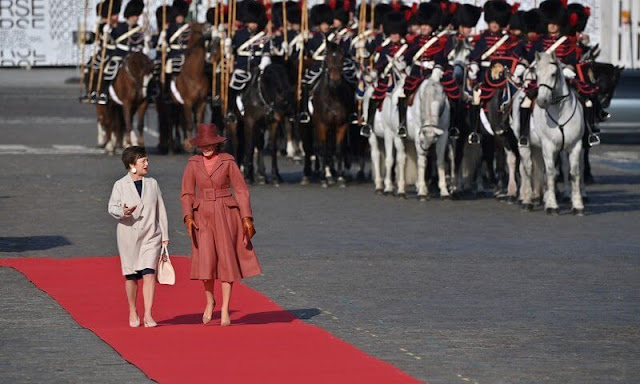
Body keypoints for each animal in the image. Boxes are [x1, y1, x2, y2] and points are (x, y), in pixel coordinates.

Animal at [308, 41, 352, 187]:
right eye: (326, 58)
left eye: (342, 59)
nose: (335, 81)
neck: (332, 96)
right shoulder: (321, 126)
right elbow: (323, 149)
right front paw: (325, 177)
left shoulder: (342, 126)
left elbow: (338, 150)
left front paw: (340, 177)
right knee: (322, 148)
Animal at [528, 53, 584, 216]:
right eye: (537, 74)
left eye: (553, 74)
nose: (541, 101)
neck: (560, 112)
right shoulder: (548, 146)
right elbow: (551, 174)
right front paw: (552, 205)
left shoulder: (575, 145)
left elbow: (574, 173)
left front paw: (577, 205)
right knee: (525, 168)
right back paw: (526, 199)